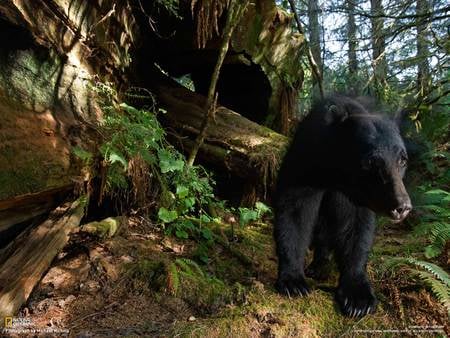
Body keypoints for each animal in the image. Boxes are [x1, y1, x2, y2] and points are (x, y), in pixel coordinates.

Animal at [274, 94, 412, 316]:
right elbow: (296, 209)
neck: (337, 175)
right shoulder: (306, 159)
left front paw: (358, 298)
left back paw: (320, 265)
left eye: (402, 160)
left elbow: (356, 228)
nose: (402, 206)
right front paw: (293, 281)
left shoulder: (357, 197)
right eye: (372, 162)